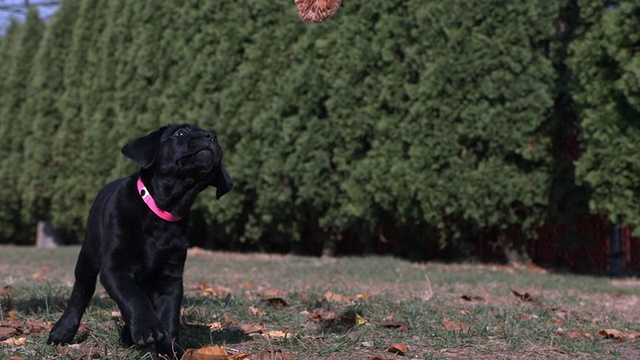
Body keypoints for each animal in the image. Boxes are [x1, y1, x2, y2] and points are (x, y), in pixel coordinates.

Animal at [47, 124, 232, 358]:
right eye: (180, 133)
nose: (212, 137)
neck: (160, 212)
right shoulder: (115, 268)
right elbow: (133, 296)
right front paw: (147, 329)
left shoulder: (170, 278)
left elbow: (168, 316)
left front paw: (169, 349)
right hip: (87, 257)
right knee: (81, 293)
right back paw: (62, 331)